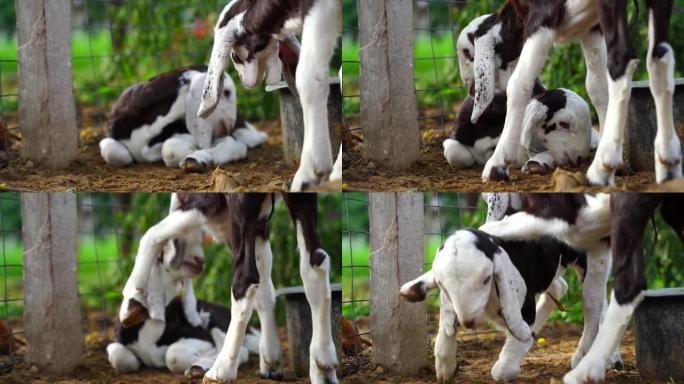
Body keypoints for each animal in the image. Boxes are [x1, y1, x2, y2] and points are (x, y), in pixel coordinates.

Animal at [404, 228, 616, 380]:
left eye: (486, 279)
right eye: (443, 285)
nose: (468, 323)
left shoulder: (524, 307)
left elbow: (501, 368)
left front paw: (509, 367)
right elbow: (445, 329)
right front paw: (446, 367)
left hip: (594, 261)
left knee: (592, 303)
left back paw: (582, 355)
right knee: (559, 287)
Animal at [462, 0, 680, 186]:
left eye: (468, 55)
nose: (470, 89)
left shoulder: (543, 12)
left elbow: (519, 82)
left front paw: (497, 165)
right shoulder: (592, 27)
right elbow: (596, 86)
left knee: (622, 59)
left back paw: (603, 166)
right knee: (661, 57)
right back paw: (667, 161)